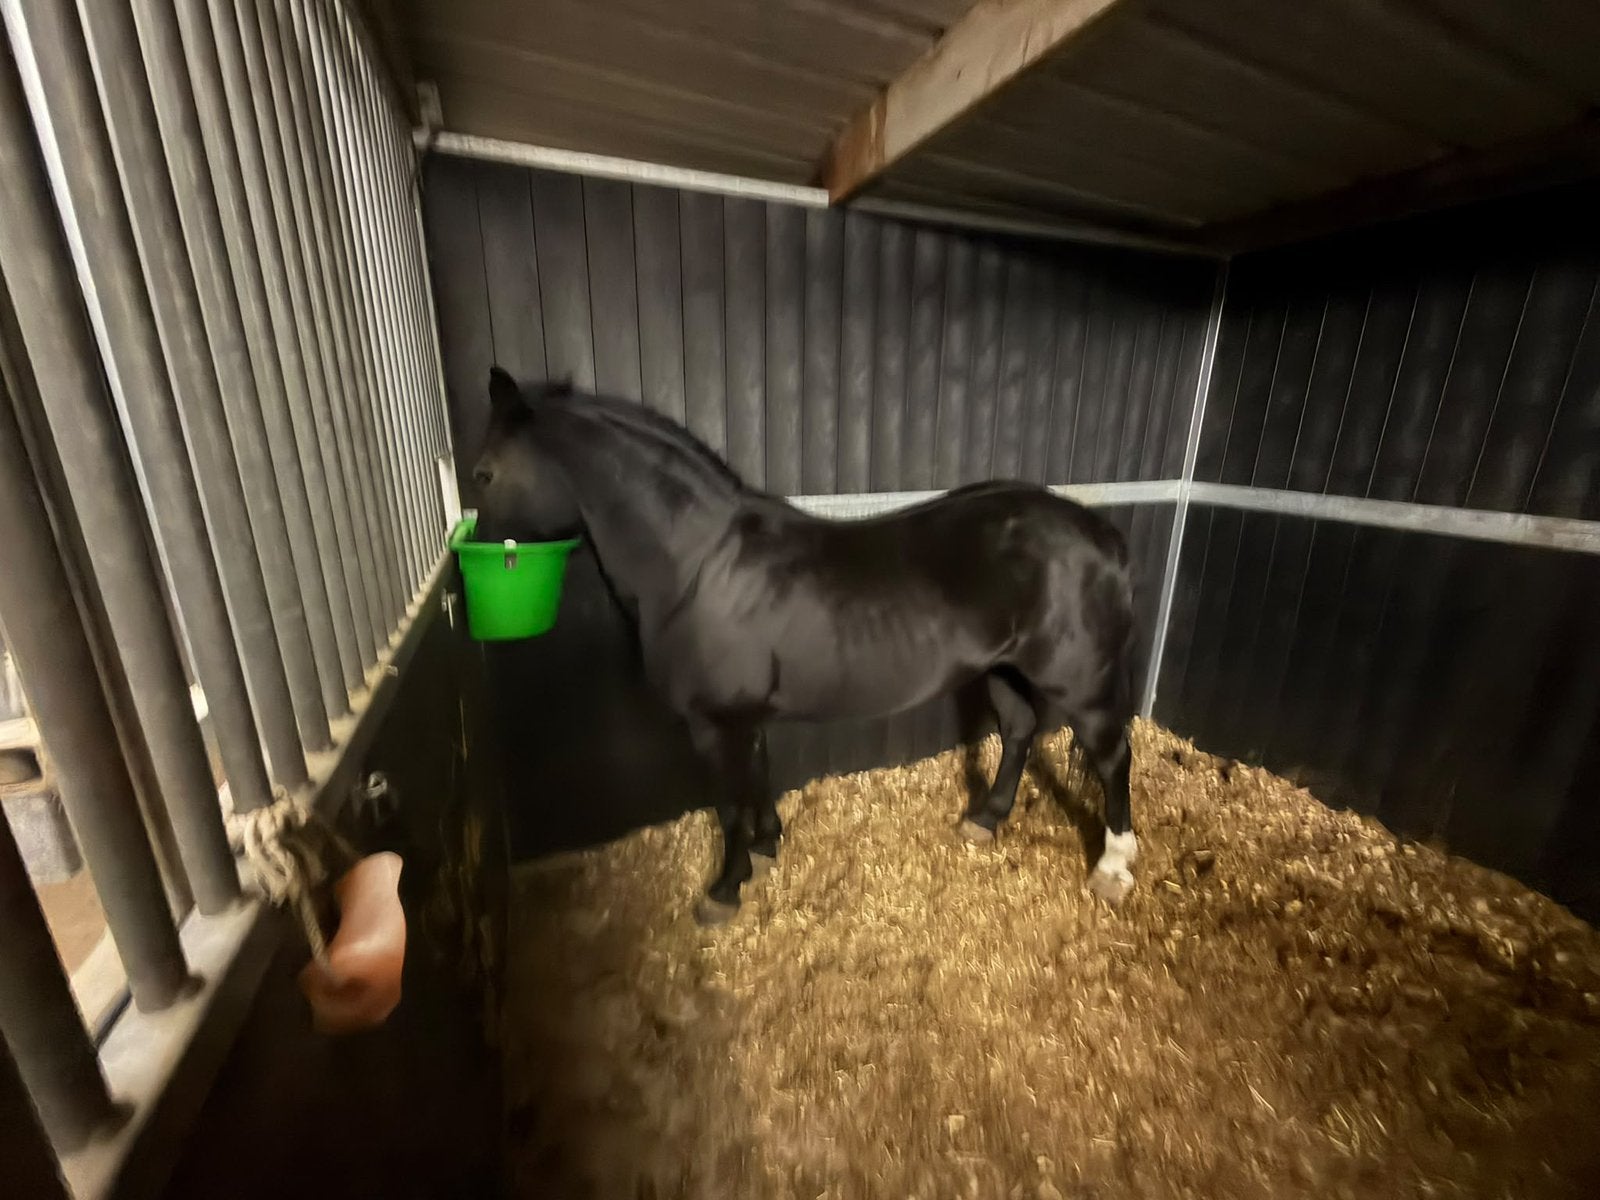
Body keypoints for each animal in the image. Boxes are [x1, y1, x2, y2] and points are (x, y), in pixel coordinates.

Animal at [471, 368, 1141, 925]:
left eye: (483, 474)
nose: (473, 569)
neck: (697, 564)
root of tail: (1101, 533)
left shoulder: (713, 723)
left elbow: (729, 804)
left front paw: (724, 890)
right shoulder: (745, 717)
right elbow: (759, 778)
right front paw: (767, 848)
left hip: (1078, 683)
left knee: (1111, 756)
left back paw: (1112, 867)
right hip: (1003, 668)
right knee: (1021, 729)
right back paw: (985, 819)